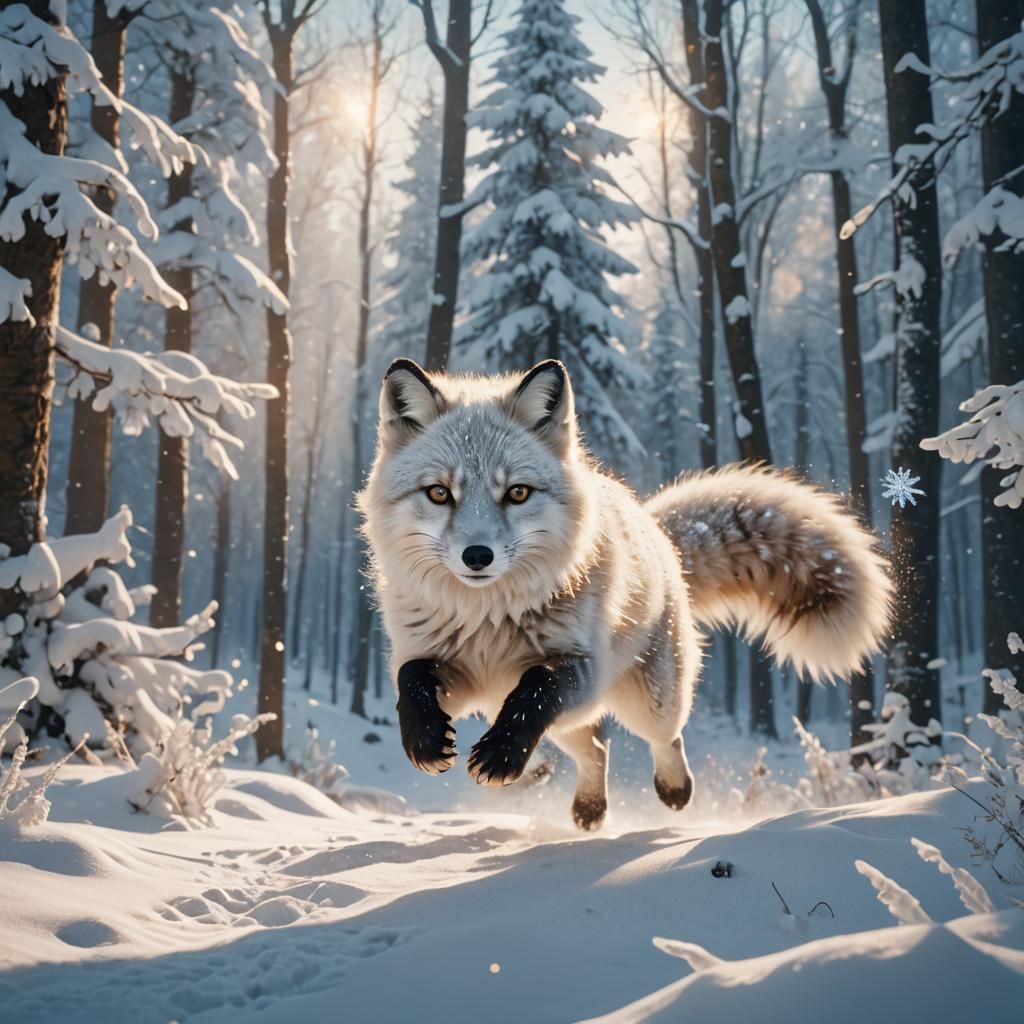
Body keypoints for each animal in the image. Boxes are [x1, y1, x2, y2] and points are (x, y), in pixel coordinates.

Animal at [357, 357, 892, 830]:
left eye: (517, 493)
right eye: (439, 493)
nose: (477, 556)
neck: (488, 617)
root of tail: (656, 531)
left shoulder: (578, 668)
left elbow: (536, 689)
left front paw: (501, 755)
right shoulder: (459, 670)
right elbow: (411, 678)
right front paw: (425, 740)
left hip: (646, 704)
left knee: (665, 740)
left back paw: (675, 791)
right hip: (555, 721)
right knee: (597, 749)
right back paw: (588, 809)